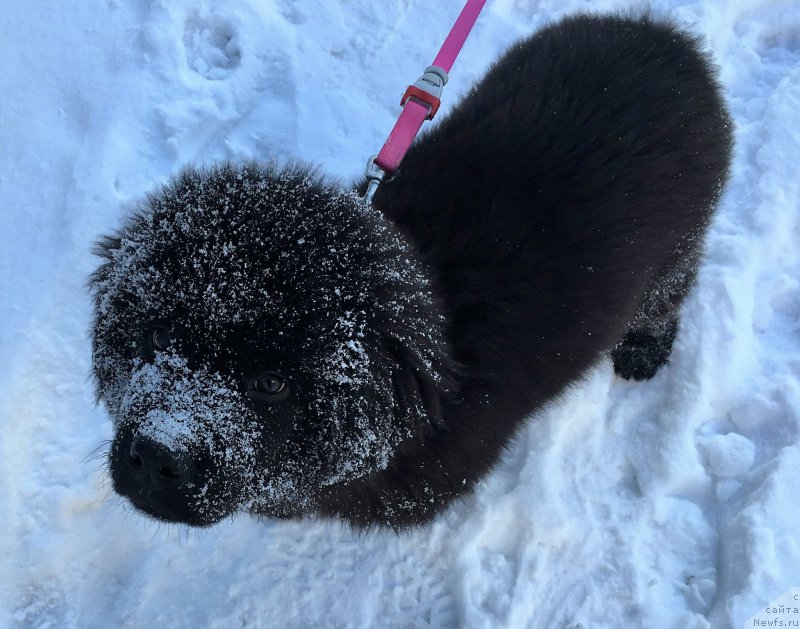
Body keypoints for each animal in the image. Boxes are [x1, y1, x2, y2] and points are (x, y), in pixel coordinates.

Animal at [89, 12, 732, 528]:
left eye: (272, 383)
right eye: (158, 336)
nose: (156, 456)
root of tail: (667, 38)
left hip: (678, 244)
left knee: (669, 294)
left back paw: (644, 350)